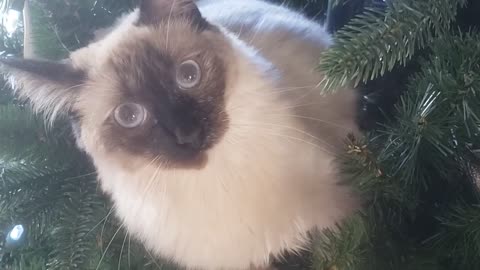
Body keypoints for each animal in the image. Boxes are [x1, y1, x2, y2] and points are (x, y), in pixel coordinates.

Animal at [0, 0, 360, 270]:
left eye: (188, 76)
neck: (215, 181)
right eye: (129, 116)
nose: (188, 135)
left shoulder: (333, 212)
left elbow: (341, 254)